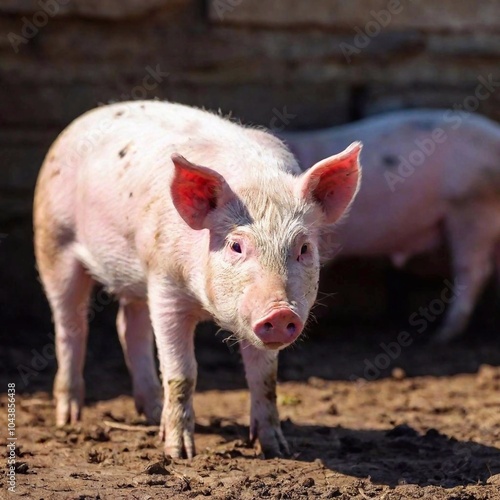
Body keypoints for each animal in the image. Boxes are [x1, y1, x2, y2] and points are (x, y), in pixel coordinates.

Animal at [35, 99, 362, 458]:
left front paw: (277, 450)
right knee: (71, 326)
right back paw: (69, 419)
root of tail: (85, 119)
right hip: (54, 241)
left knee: (129, 326)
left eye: (304, 247)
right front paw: (179, 453)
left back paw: (152, 414)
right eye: (236, 246)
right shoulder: (165, 284)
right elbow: (182, 373)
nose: (279, 312)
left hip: (137, 275)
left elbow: (265, 377)